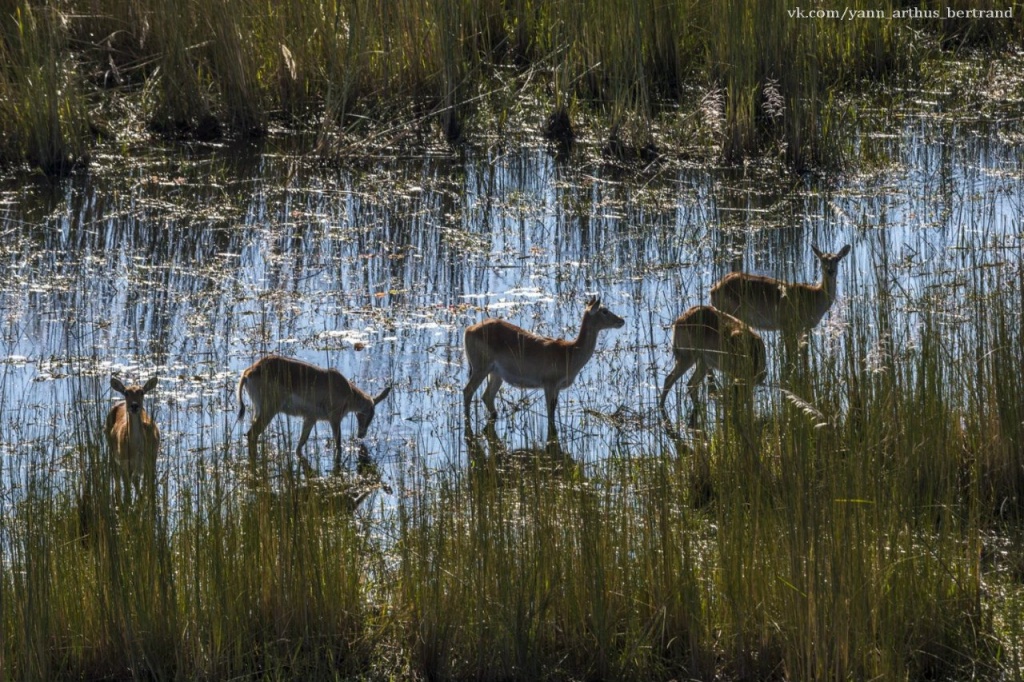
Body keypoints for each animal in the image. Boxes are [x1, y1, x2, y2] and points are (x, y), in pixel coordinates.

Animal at [237, 352, 393, 464]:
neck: (347, 390)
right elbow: (338, 444)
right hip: (269, 411)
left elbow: (300, 445)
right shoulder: (334, 419)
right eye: (371, 413)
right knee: (251, 434)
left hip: (259, 410)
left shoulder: (310, 419)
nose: (361, 434)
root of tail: (249, 371)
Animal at [464, 292, 622, 436]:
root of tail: (468, 330)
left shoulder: (556, 387)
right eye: (604, 310)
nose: (621, 320)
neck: (569, 352)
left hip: (496, 374)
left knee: (486, 397)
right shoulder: (549, 384)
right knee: (468, 391)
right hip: (480, 368)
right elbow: (550, 414)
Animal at [708, 244, 851, 360]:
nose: (830, 271)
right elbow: (790, 356)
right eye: (822, 259)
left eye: (837, 259)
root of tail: (714, 289)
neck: (814, 297)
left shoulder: (804, 328)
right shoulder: (787, 324)